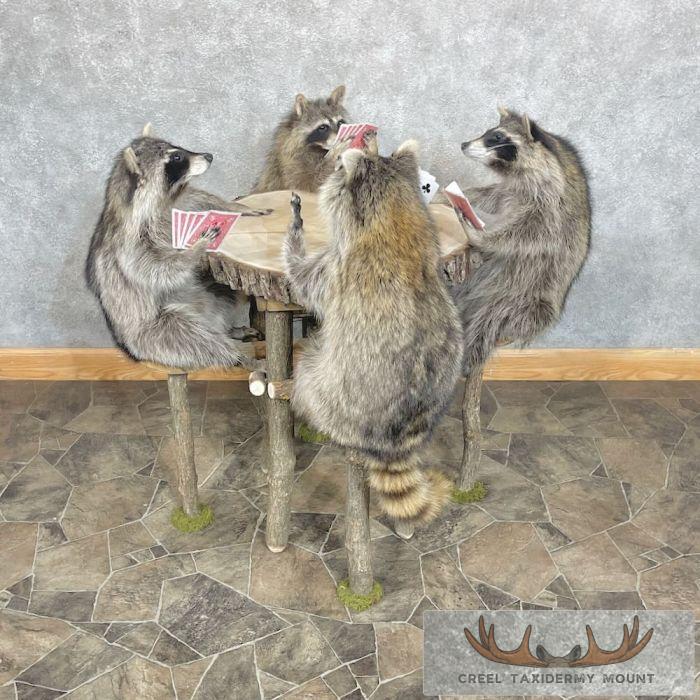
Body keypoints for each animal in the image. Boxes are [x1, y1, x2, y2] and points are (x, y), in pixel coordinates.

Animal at [86, 125, 264, 370]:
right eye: (177, 158)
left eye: (177, 148)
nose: (208, 156)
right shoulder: (129, 243)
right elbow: (156, 267)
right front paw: (195, 250)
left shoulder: (179, 203)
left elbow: (198, 198)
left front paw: (232, 206)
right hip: (154, 335)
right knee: (196, 338)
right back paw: (238, 357)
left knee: (226, 290)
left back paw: (231, 329)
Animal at [283, 134, 462, 523]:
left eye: (337, 168)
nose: (334, 161)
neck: (395, 211)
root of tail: (395, 439)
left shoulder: (336, 267)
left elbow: (301, 279)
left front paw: (295, 233)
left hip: (331, 395)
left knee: (308, 369)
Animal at [453, 108, 591, 375]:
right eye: (487, 132)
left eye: (496, 137)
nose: (464, 144)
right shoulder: (509, 190)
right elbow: (492, 195)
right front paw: (464, 195)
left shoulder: (551, 205)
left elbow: (529, 234)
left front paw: (481, 235)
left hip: (528, 297)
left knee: (497, 320)